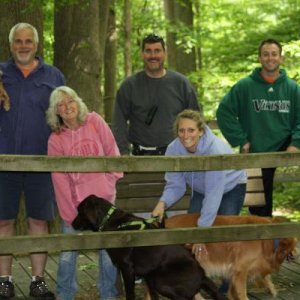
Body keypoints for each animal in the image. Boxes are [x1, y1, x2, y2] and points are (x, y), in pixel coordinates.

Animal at [72, 195, 226, 300]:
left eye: (79, 211)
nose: (72, 223)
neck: (113, 222)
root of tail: (201, 274)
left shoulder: (127, 269)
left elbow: (130, 293)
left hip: (160, 280)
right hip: (152, 276)